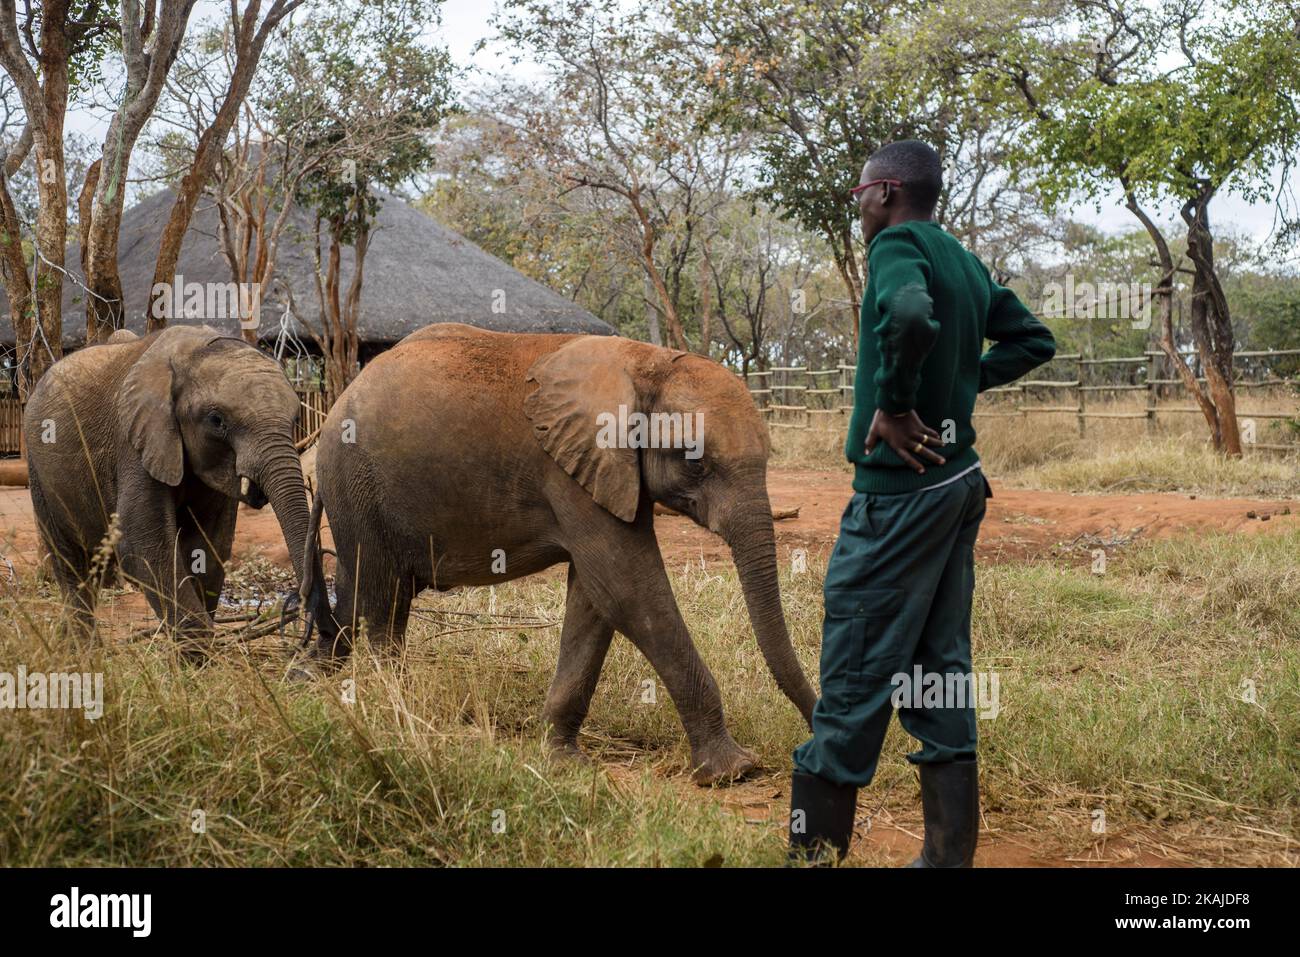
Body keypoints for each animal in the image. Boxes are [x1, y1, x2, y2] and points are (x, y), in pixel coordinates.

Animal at [24, 325, 335, 655]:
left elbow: (209, 545)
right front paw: (201, 656)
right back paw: (84, 652)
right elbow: (144, 544)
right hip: (39, 469)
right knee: (71, 560)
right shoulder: (136, 441)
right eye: (217, 420)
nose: (315, 635)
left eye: (296, 419)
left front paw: (194, 656)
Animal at [302, 321, 811, 785]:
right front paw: (733, 771)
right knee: (383, 603)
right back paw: (398, 718)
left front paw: (562, 761)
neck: (647, 361)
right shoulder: (571, 473)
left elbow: (595, 598)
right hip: (357, 483)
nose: (807, 737)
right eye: (695, 461)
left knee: (356, 590)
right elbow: (628, 588)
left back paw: (324, 685)